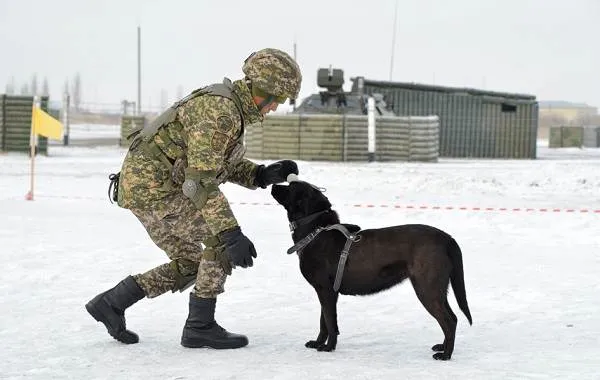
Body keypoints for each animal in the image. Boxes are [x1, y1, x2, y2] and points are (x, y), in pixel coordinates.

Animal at [272, 180, 474, 360]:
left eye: (291, 186)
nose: (273, 185)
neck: (316, 232)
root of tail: (447, 238)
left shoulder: (325, 289)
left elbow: (330, 321)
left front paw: (328, 347)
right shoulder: (327, 291)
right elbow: (324, 321)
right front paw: (318, 343)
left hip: (427, 287)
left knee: (449, 320)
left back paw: (446, 355)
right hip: (437, 287)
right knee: (451, 317)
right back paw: (442, 347)